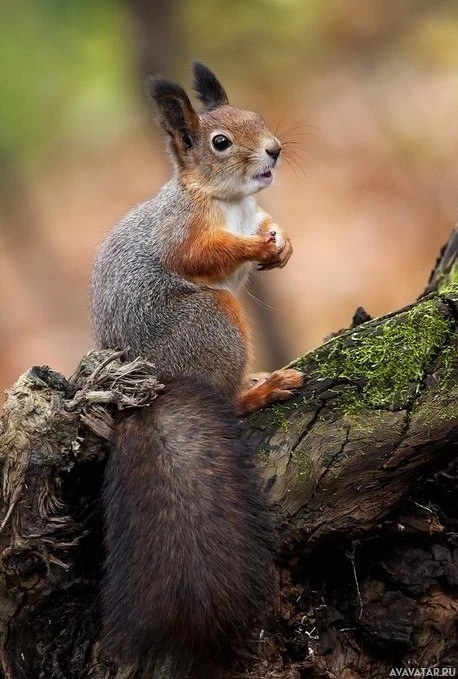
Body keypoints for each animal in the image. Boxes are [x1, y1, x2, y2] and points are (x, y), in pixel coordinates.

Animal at [90, 61, 304, 676]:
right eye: (220, 142)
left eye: (257, 116)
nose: (275, 150)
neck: (228, 201)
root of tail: (153, 385)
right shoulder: (183, 232)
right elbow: (203, 255)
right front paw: (256, 249)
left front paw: (281, 243)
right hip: (215, 322)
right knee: (227, 394)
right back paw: (262, 388)